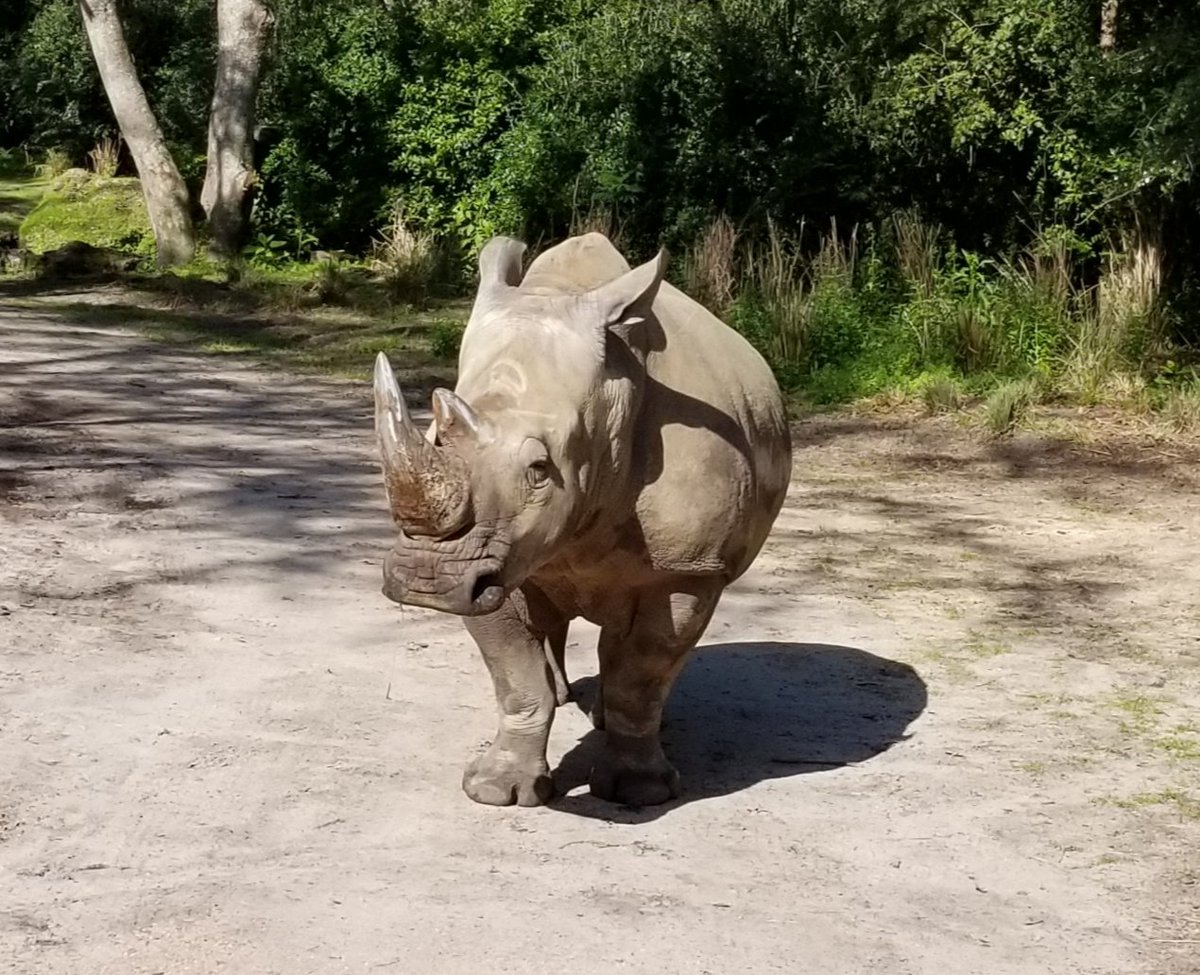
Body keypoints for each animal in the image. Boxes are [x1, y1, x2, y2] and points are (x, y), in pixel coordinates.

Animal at [372, 232, 791, 807]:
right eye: (435, 438)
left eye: (539, 471)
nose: (425, 582)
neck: (604, 408)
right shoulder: (487, 567)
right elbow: (516, 679)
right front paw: (498, 790)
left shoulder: (690, 568)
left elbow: (639, 677)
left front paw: (638, 792)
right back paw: (566, 697)